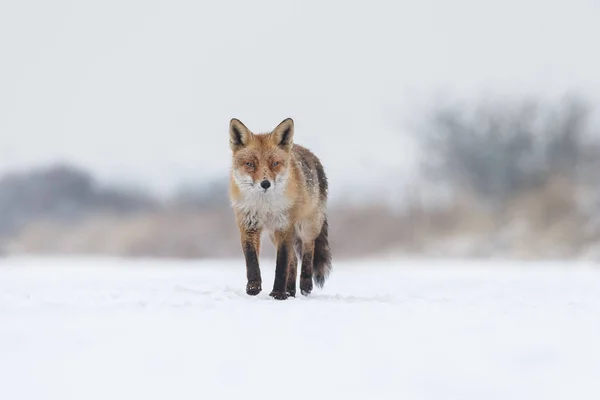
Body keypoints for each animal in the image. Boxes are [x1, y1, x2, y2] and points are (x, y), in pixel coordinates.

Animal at [230, 117, 332, 298]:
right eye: (250, 164)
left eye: (275, 163)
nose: (265, 184)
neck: (264, 206)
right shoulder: (248, 225)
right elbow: (252, 261)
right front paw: (253, 288)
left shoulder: (284, 226)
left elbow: (282, 264)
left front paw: (278, 293)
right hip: (274, 234)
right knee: (294, 260)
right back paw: (290, 291)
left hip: (307, 226)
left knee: (308, 250)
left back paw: (305, 285)